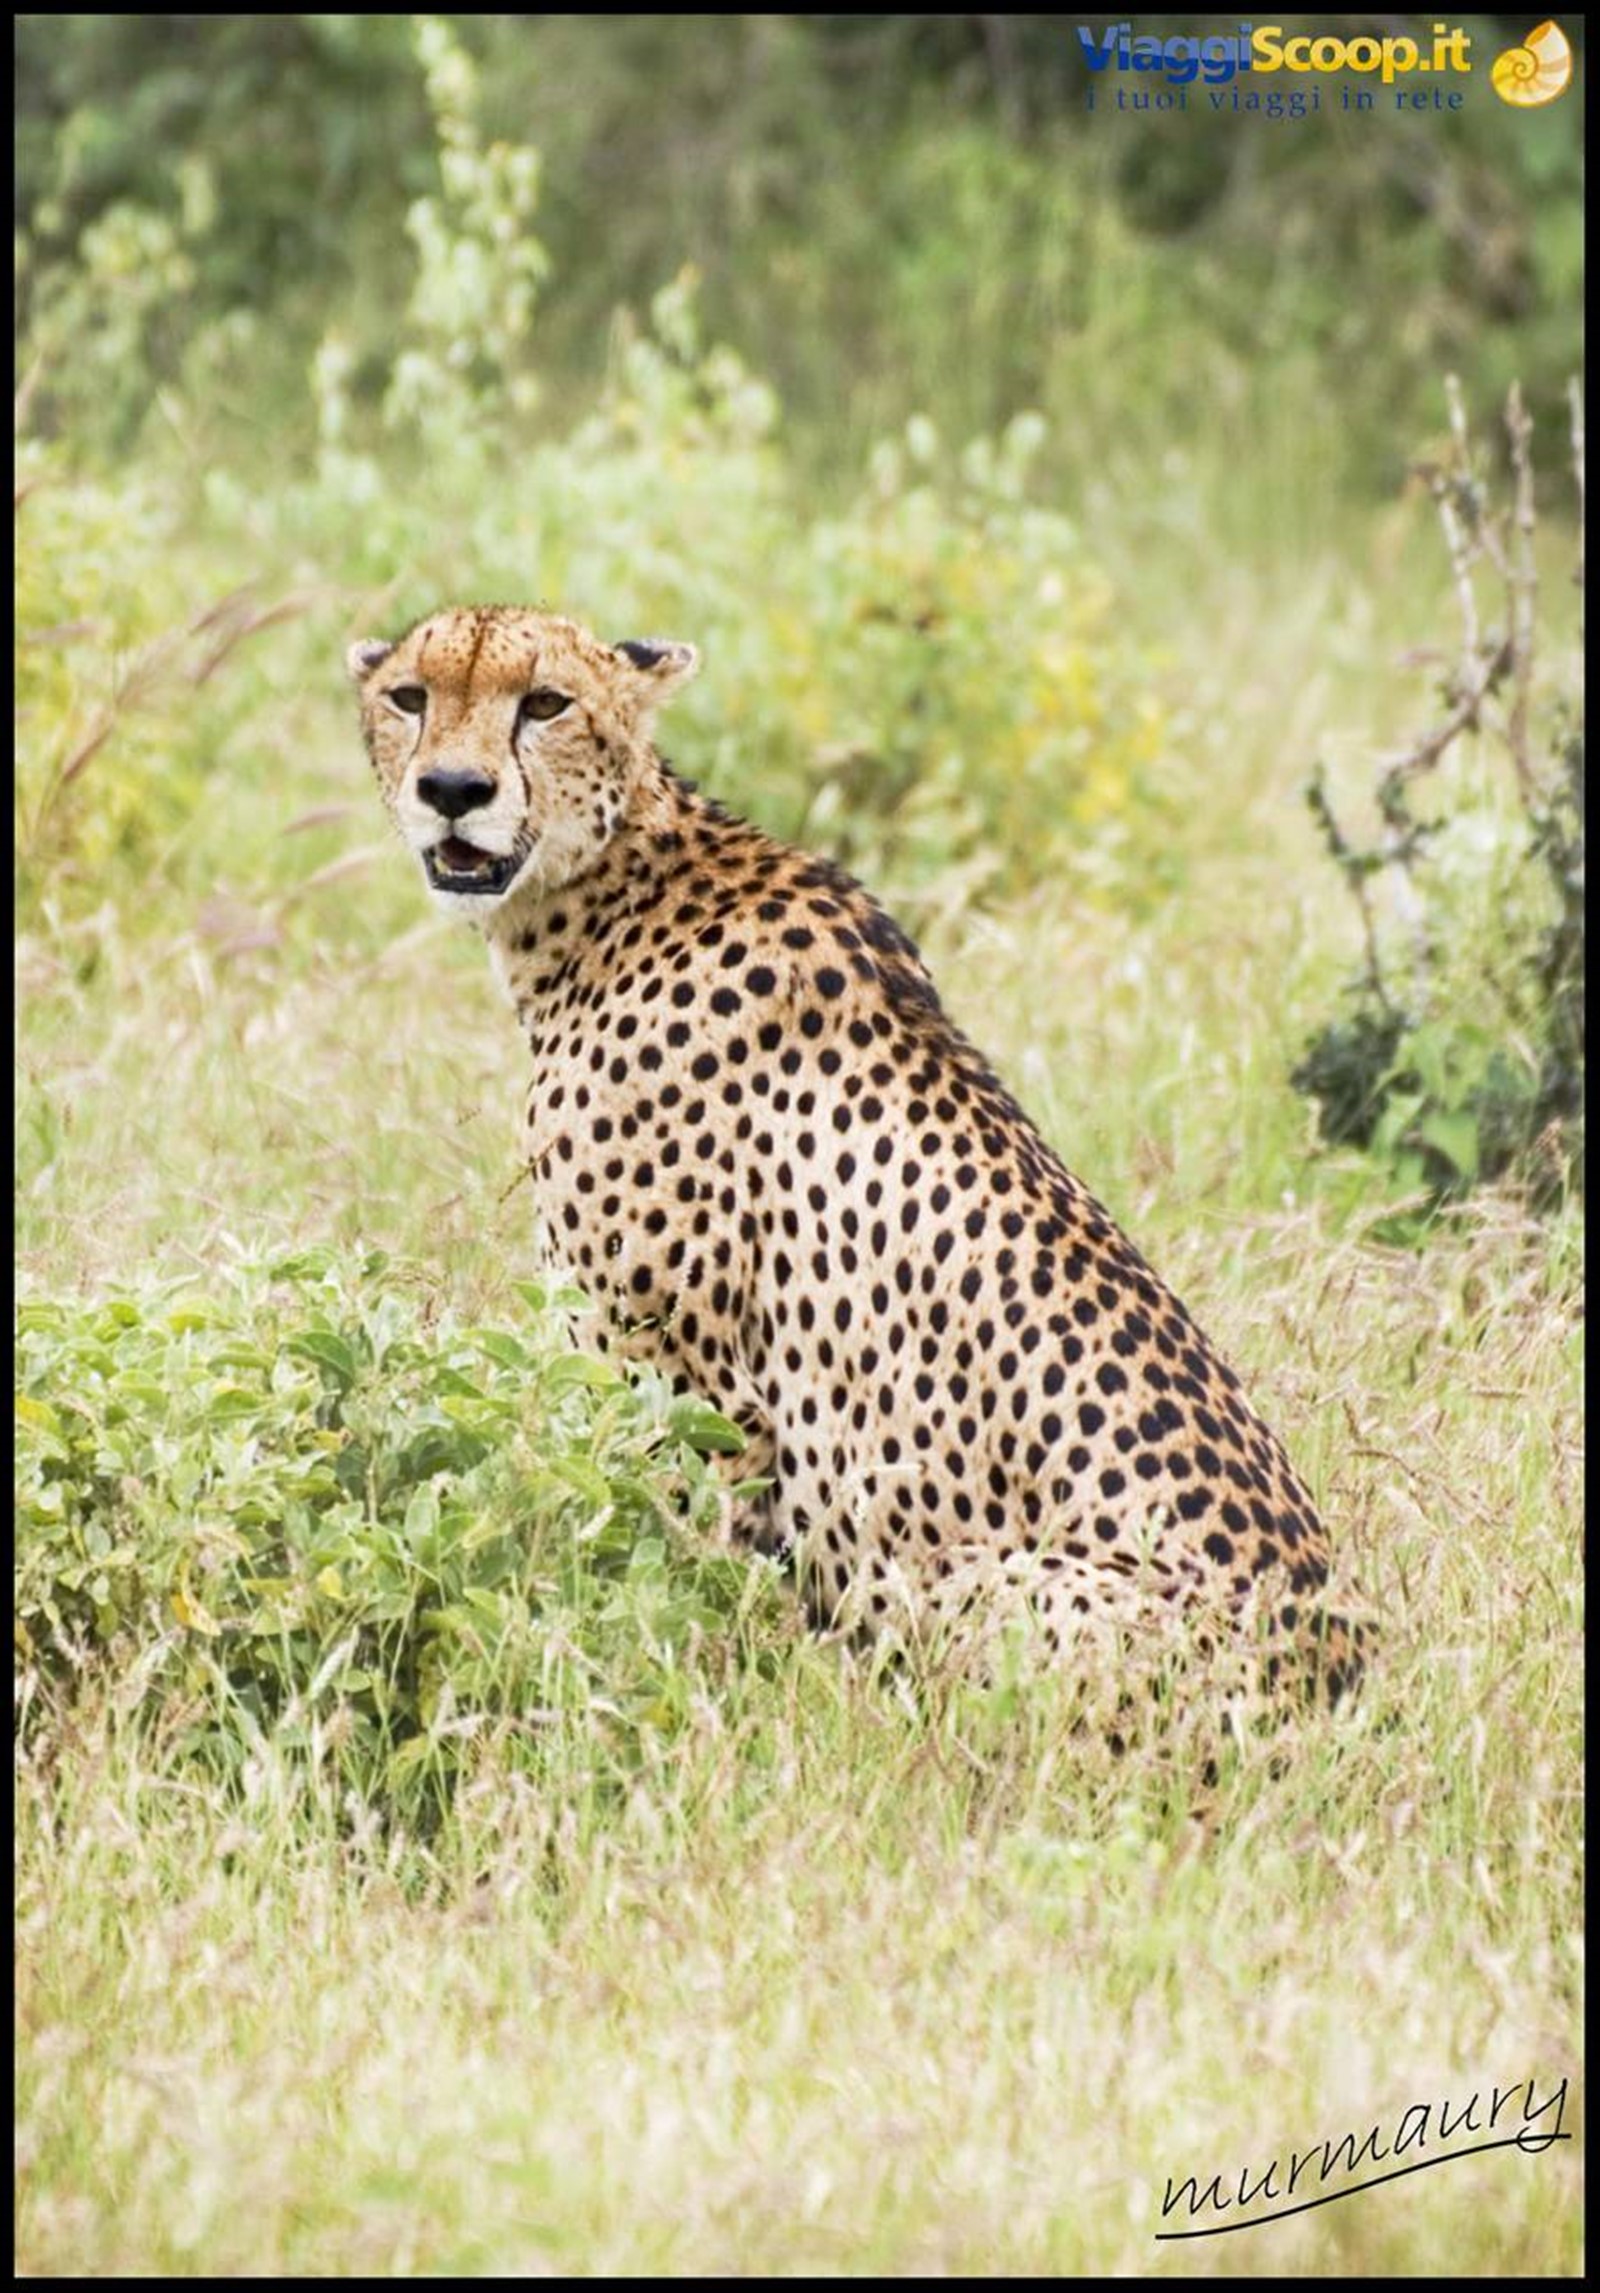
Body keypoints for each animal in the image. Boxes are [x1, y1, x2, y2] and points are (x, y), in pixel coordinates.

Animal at [347, 602, 1365, 1702]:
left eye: (545, 703)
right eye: (409, 697)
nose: (453, 791)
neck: (612, 894)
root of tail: (1344, 1670)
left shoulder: (685, 1377)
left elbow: (665, 1562)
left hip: (965, 1583)